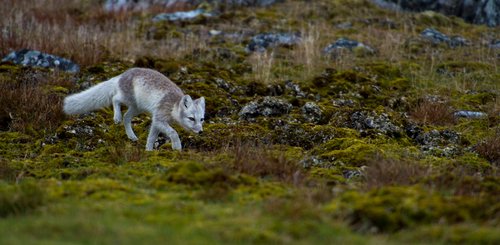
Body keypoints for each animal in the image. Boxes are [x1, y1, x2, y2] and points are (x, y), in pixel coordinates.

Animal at [64, 68, 205, 150]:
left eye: (202, 119)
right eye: (191, 118)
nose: (201, 132)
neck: (172, 106)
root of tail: (122, 74)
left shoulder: (156, 122)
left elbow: (151, 138)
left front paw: (148, 151)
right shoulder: (159, 119)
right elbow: (173, 132)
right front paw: (177, 146)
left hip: (137, 107)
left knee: (126, 117)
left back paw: (131, 136)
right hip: (127, 99)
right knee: (115, 99)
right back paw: (116, 117)